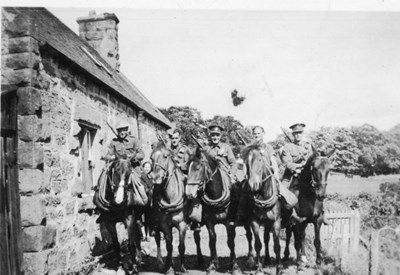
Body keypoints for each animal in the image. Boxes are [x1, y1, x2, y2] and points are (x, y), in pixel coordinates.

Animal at [150, 141, 189, 274]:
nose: (155, 177)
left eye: (165, 156)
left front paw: (182, 268)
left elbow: (181, 246)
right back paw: (161, 263)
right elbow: (169, 246)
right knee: (158, 240)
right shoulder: (164, 225)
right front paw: (170, 268)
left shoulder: (182, 224)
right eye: (151, 158)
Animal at [239, 144, 282, 275]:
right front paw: (259, 268)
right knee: (249, 237)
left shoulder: (276, 221)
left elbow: (277, 245)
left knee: (267, 239)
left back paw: (267, 260)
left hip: (268, 223)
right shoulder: (254, 221)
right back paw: (250, 259)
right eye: (246, 163)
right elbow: (258, 244)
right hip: (248, 222)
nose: (253, 184)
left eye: (259, 160)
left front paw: (279, 268)